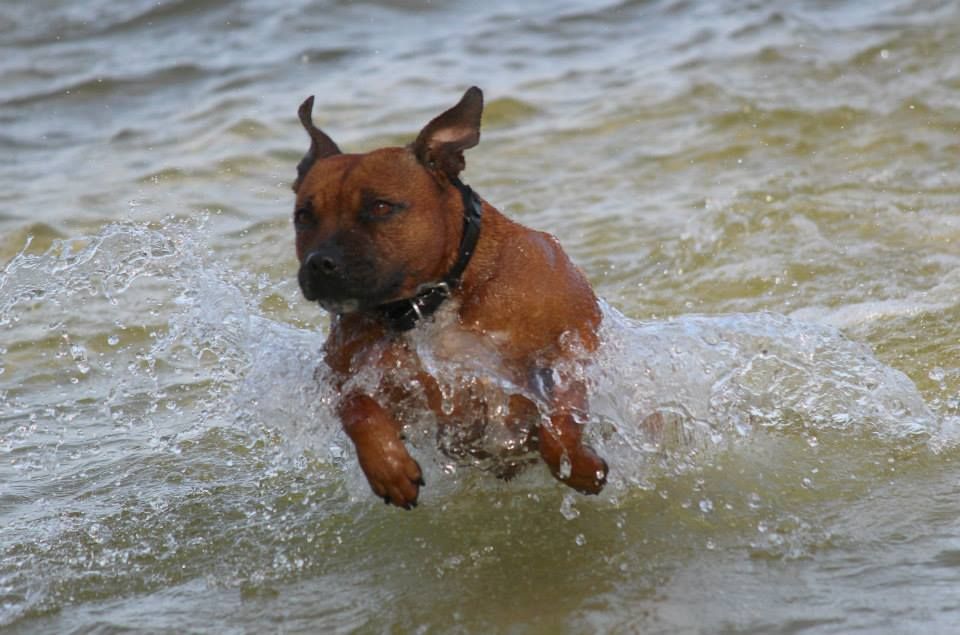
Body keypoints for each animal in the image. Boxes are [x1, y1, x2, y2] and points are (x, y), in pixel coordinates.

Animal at [292, 87, 608, 510]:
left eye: (380, 206)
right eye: (304, 215)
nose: (320, 263)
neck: (432, 302)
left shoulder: (571, 348)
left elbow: (559, 422)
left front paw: (580, 466)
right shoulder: (352, 375)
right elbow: (356, 407)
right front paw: (388, 466)